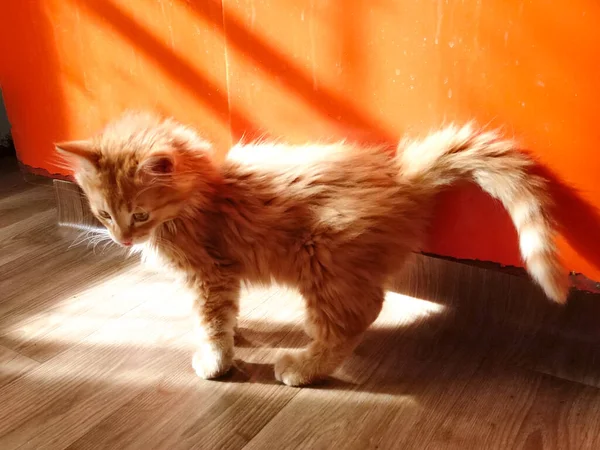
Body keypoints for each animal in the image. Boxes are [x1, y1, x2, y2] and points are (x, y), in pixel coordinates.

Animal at [56, 112, 568, 386]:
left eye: (139, 215)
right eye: (104, 214)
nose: (122, 238)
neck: (202, 194)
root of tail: (400, 177)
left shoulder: (209, 274)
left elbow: (211, 321)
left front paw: (216, 359)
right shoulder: (224, 277)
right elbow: (225, 315)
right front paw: (235, 334)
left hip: (325, 263)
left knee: (356, 318)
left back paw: (302, 366)